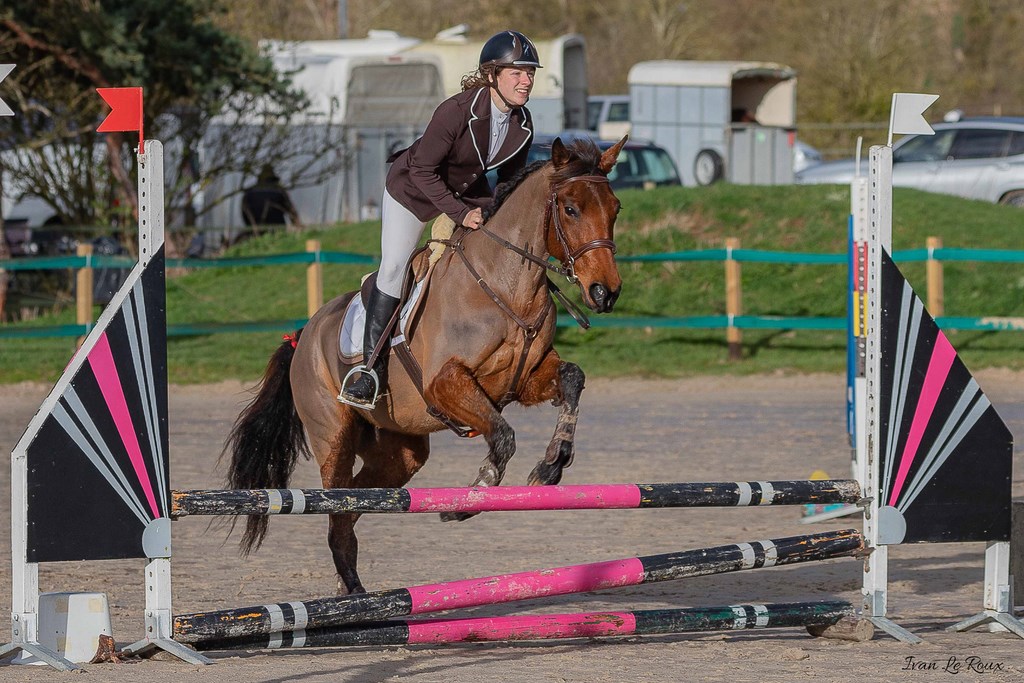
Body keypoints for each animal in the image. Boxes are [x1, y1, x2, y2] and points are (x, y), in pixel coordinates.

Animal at [224, 137, 622, 593]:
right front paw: (473, 494)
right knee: (337, 510)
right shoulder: (445, 384)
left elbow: (573, 378)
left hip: (400, 453)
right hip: (334, 437)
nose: (605, 292)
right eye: (571, 209)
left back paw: (348, 590)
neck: (506, 287)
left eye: (615, 208)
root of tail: (304, 333)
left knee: (355, 506)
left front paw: (550, 465)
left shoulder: (524, 380)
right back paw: (354, 593)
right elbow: (503, 436)